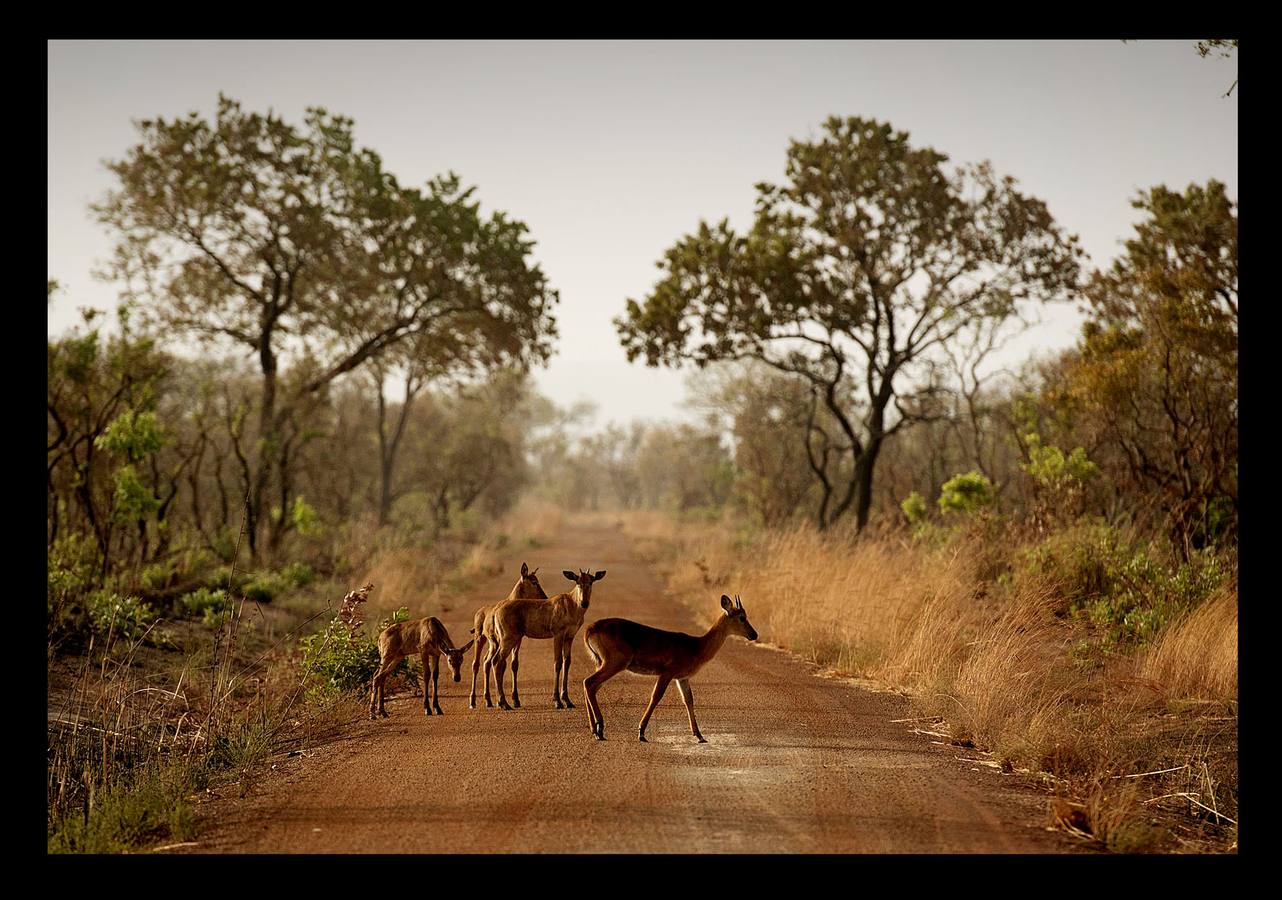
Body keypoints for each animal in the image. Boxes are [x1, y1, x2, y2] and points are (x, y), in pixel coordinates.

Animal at [474, 564, 548, 712]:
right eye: (534, 582)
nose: (545, 597)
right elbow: (505, 665)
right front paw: (508, 700)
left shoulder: (517, 641)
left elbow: (514, 665)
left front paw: (516, 700)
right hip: (481, 639)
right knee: (479, 663)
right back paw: (477, 702)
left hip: (494, 644)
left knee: (487, 662)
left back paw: (489, 701)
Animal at [492, 571, 607, 712]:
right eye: (578, 582)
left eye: (590, 582)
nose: (584, 603)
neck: (570, 604)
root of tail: (497, 610)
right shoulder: (558, 635)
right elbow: (557, 663)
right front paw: (557, 701)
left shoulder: (569, 637)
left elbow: (567, 663)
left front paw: (568, 701)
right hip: (508, 640)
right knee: (498, 662)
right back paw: (504, 703)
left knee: (496, 661)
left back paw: (502, 702)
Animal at [584, 594, 753, 743]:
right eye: (742, 617)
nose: (754, 634)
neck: (696, 647)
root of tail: (591, 628)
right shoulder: (667, 673)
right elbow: (656, 697)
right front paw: (641, 732)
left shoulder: (682, 678)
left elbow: (689, 700)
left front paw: (700, 736)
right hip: (614, 663)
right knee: (589, 683)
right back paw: (600, 728)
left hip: (603, 663)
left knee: (590, 685)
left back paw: (595, 731)